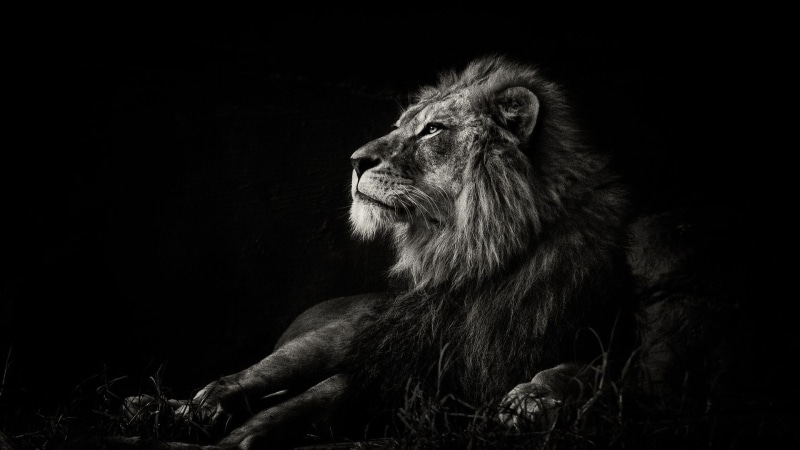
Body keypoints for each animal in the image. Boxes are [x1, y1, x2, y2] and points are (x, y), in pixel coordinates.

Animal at [123, 55, 639, 449]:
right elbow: (315, 395)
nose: (355, 161)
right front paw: (237, 436)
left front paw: (531, 399)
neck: (482, 258)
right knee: (244, 378)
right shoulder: (392, 355)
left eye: (433, 130)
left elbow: (585, 371)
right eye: (402, 126)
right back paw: (165, 408)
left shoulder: (605, 338)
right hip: (332, 335)